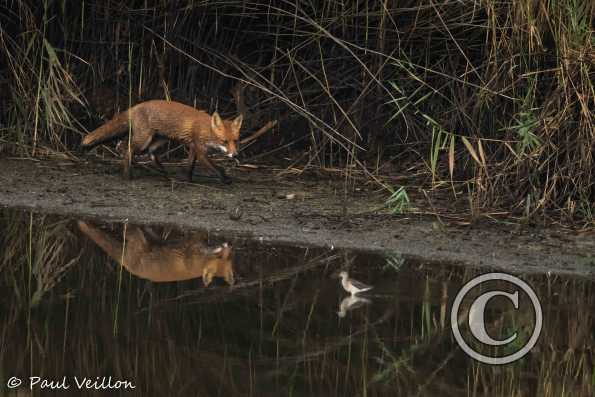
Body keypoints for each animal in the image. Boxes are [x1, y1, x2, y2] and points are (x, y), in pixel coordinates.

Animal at [78, 220, 236, 284]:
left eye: (228, 256)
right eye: (219, 255)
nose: (229, 244)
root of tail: (126, 266)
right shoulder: (190, 248)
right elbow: (195, 236)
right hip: (137, 239)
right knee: (128, 230)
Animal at [81, 100, 244, 184]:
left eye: (235, 141)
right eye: (224, 141)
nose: (235, 155)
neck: (206, 129)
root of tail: (135, 106)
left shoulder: (193, 148)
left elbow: (190, 166)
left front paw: (188, 180)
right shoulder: (200, 150)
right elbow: (216, 168)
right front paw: (225, 179)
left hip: (158, 140)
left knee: (147, 153)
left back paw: (164, 173)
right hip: (143, 139)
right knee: (126, 148)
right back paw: (128, 175)